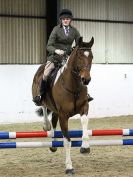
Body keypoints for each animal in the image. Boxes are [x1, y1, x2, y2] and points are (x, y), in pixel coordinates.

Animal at [31, 36, 94, 175]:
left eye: (91, 56)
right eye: (79, 56)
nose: (86, 80)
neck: (74, 86)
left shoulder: (84, 107)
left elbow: (84, 121)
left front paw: (85, 147)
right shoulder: (64, 115)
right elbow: (67, 141)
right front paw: (69, 167)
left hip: (56, 111)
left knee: (54, 121)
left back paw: (53, 144)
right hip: (41, 98)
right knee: (44, 107)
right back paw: (46, 126)